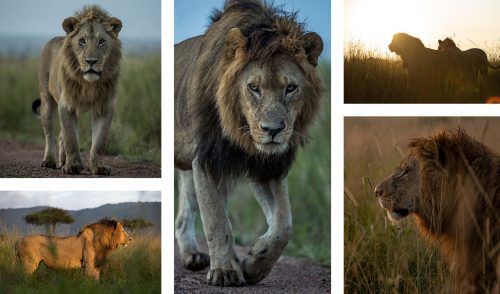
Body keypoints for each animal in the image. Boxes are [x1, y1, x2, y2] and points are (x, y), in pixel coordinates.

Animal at [33, 5, 122, 175]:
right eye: (82, 41)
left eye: (101, 41)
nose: (91, 61)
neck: (89, 84)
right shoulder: (66, 104)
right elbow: (71, 139)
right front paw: (73, 166)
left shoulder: (105, 106)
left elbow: (99, 141)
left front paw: (98, 166)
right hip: (46, 100)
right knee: (49, 135)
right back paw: (50, 161)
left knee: (60, 136)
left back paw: (62, 160)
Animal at [176, 0, 324, 288]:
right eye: (254, 87)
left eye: (290, 88)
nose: (272, 130)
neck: (243, 137)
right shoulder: (207, 159)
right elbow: (216, 220)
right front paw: (225, 271)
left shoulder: (269, 168)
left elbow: (283, 225)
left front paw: (254, 264)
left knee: (183, 214)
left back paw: (194, 256)